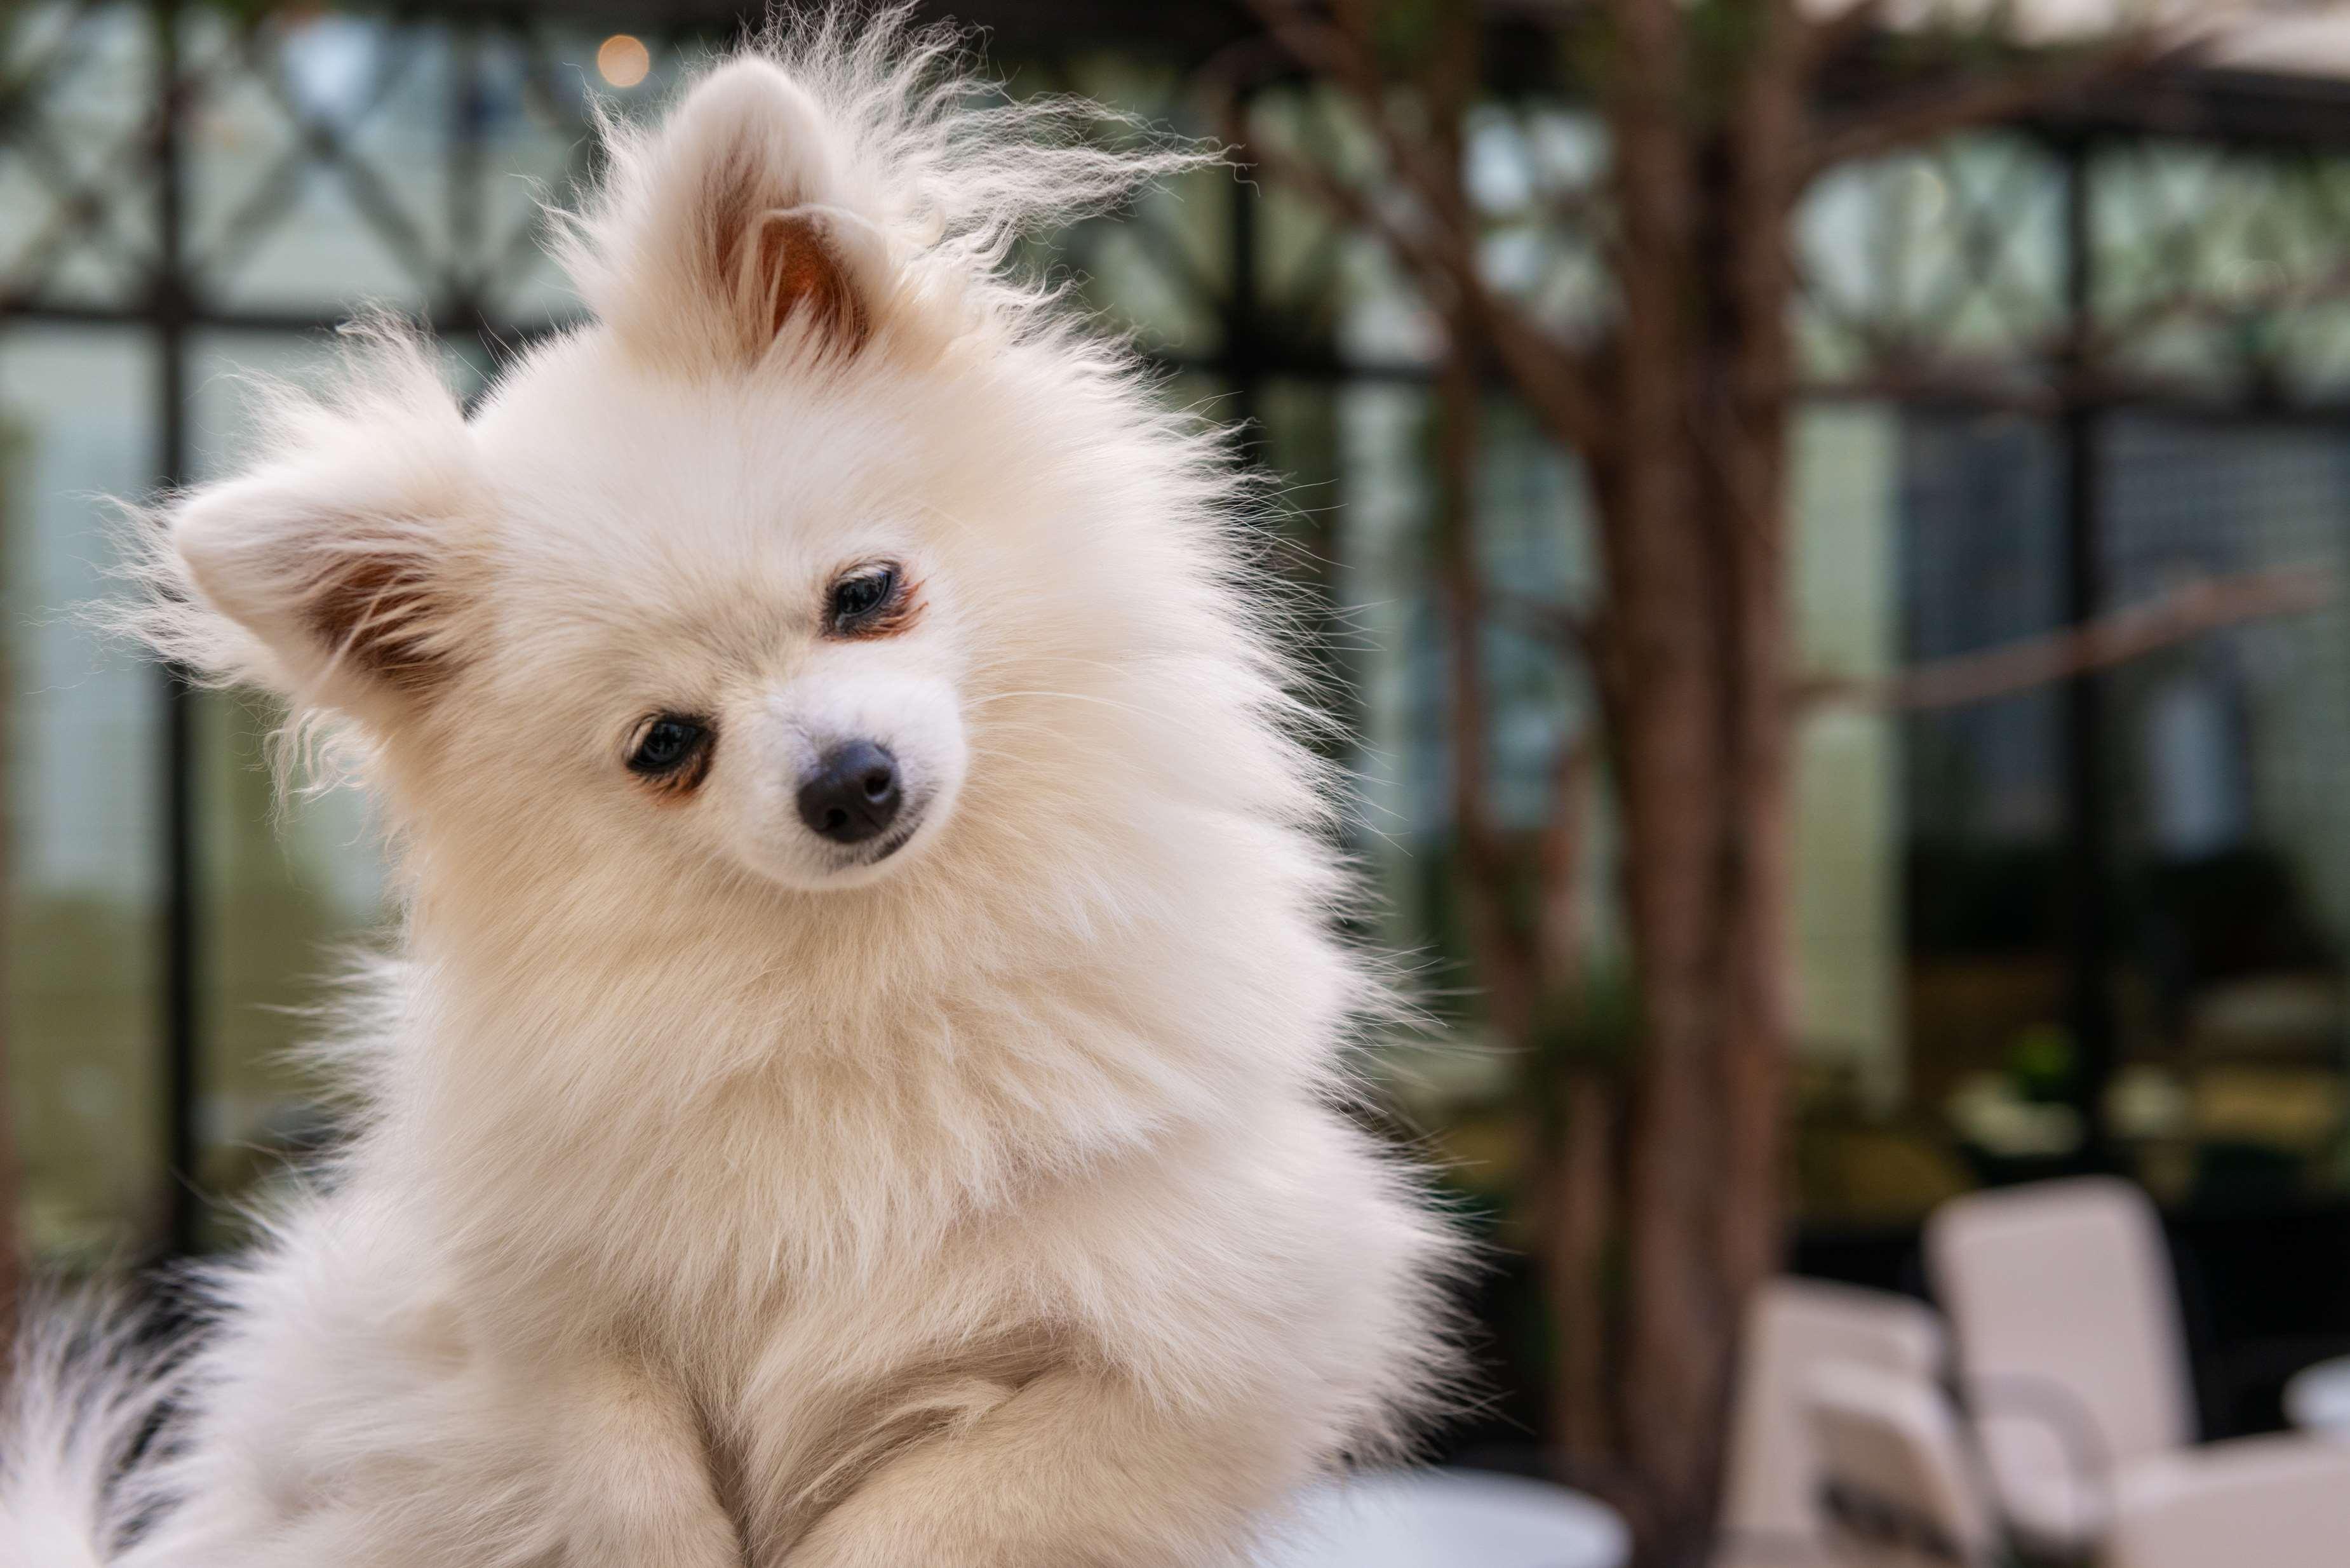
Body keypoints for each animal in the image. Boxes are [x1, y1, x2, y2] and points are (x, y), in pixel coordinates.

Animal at [0, 12, 1457, 1568]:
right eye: (664, 745)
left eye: (865, 593)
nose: (849, 781)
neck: (853, 975)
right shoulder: (514, 1331)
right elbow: (618, 1471)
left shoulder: (1224, 1325)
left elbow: (938, 1506)